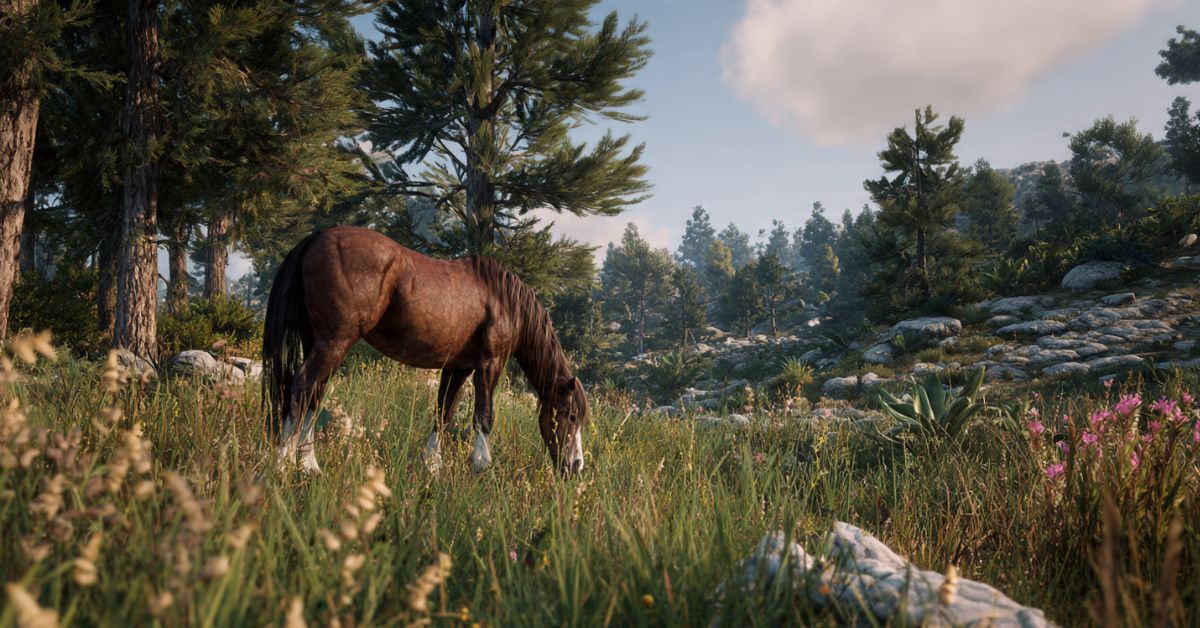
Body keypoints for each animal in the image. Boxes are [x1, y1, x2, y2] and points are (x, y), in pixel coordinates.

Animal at [262, 226, 588, 475]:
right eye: (571, 416)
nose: (576, 466)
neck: (503, 300)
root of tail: (316, 238)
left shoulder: (458, 368)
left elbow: (443, 413)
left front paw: (432, 465)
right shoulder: (490, 364)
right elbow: (483, 415)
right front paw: (482, 466)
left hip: (317, 342)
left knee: (312, 395)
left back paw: (308, 466)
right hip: (334, 342)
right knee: (302, 386)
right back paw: (282, 465)